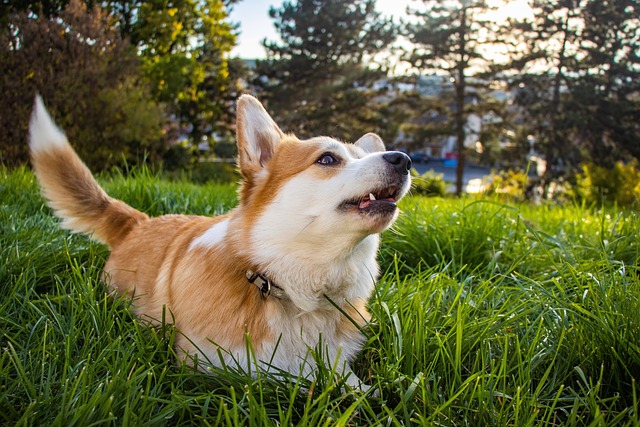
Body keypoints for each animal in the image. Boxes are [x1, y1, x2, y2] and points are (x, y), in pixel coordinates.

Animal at [27, 94, 412, 392]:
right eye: (328, 159)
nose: (403, 159)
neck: (283, 285)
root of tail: (139, 221)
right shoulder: (216, 370)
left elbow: (360, 389)